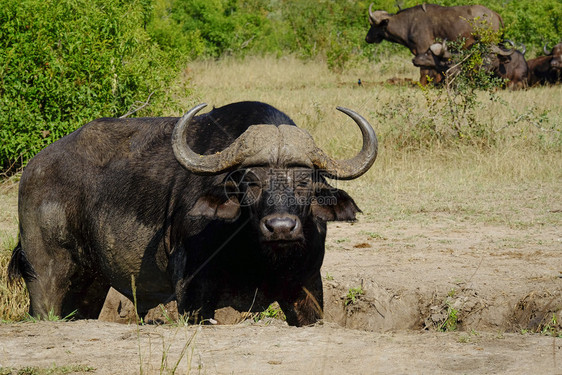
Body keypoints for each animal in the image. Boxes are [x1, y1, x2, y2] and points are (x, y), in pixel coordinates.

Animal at [7, 101, 376, 328]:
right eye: (250, 181)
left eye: (304, 181)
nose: (281, 227)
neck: (258, 256)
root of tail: (34, 169)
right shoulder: (193, 295)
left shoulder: (308, 288)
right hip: (44, 276)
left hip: (92, 282)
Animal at [366, 2, 500, 85]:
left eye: (373, 25)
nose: (367, 38)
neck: (408, 24)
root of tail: (495, 14)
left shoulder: (422, 48)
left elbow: (424, 70)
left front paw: (423, 84)